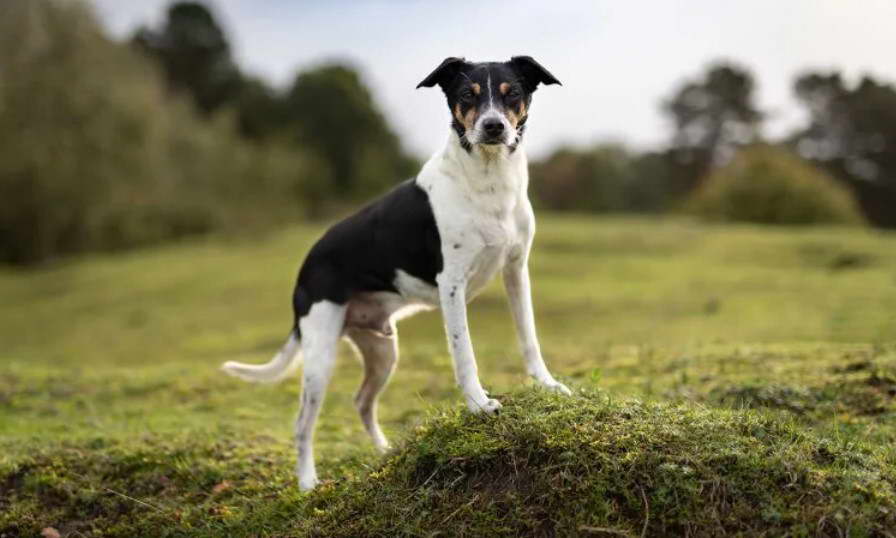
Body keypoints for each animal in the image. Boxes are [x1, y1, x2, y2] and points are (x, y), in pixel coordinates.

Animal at [224, 56, 576, 488]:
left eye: (514, 94)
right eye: (466, 95)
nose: (493, 126)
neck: (489, 181)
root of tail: (306, 267)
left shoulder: (516, 271)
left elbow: (529, 339)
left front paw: (548, 385)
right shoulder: (452, 286)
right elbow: (464, 354)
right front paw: (479, 405)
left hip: (382, 351)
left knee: (361, 401)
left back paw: (385, 453)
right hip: (320, 354)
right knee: (303, 423)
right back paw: (308, 483)